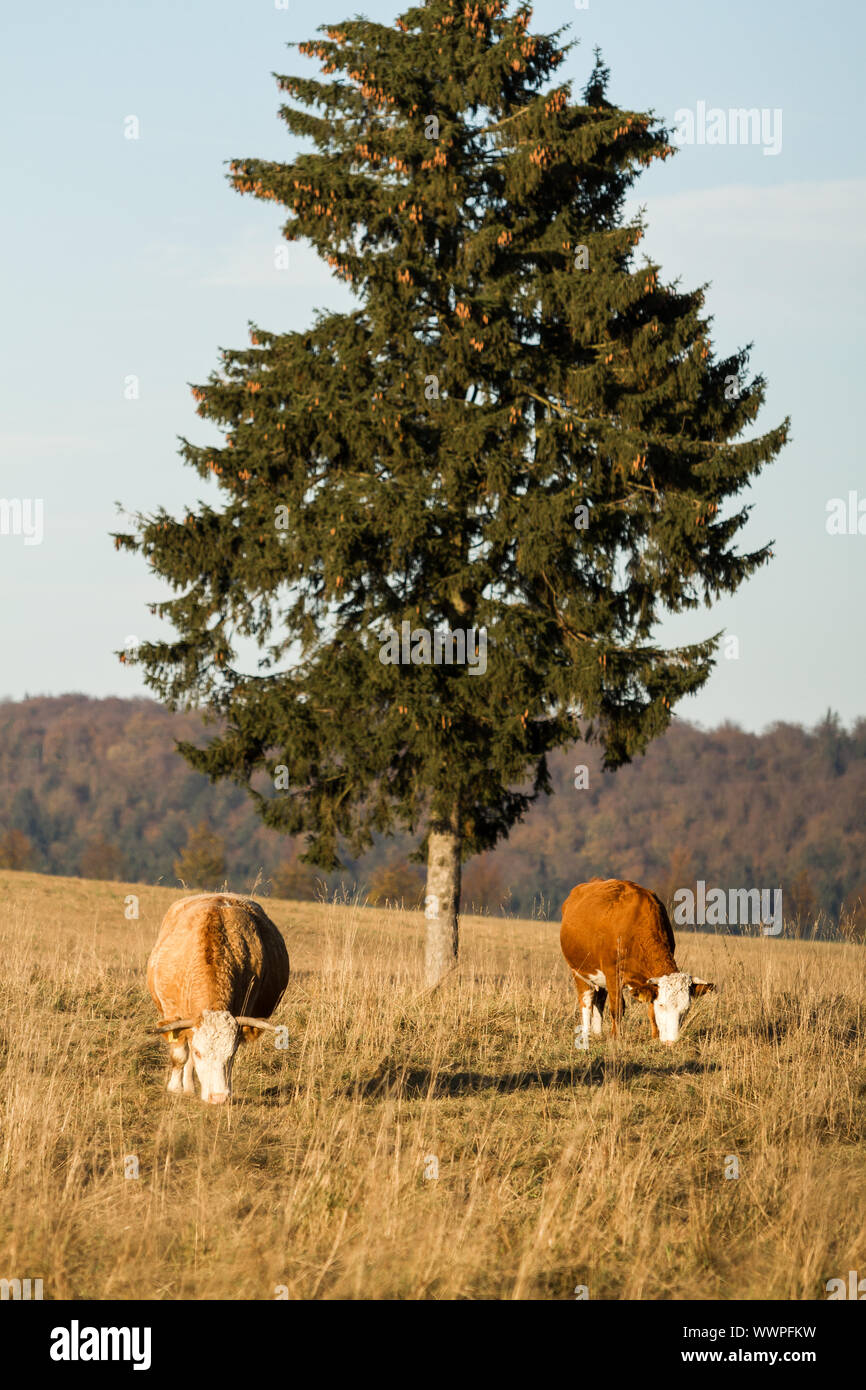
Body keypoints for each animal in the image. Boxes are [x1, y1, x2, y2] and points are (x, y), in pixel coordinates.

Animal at [147, 893, 289, 1103]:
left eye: (231, 1053)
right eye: (199, 1052)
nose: (218, 1097)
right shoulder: (172, 1013)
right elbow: (180, 1055)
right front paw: (175, 1088)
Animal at [560, 878, 714, 1043]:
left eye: (686, 1009)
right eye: (662, 1005)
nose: (671, 1042)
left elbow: (650, 1010)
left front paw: (654, 1037)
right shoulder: (612, 973)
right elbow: (617, 1008)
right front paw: (615, 1038)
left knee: (599, 1000)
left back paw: (598, 1033)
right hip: (579, 971)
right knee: (586, 1000)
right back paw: (586, 1034)